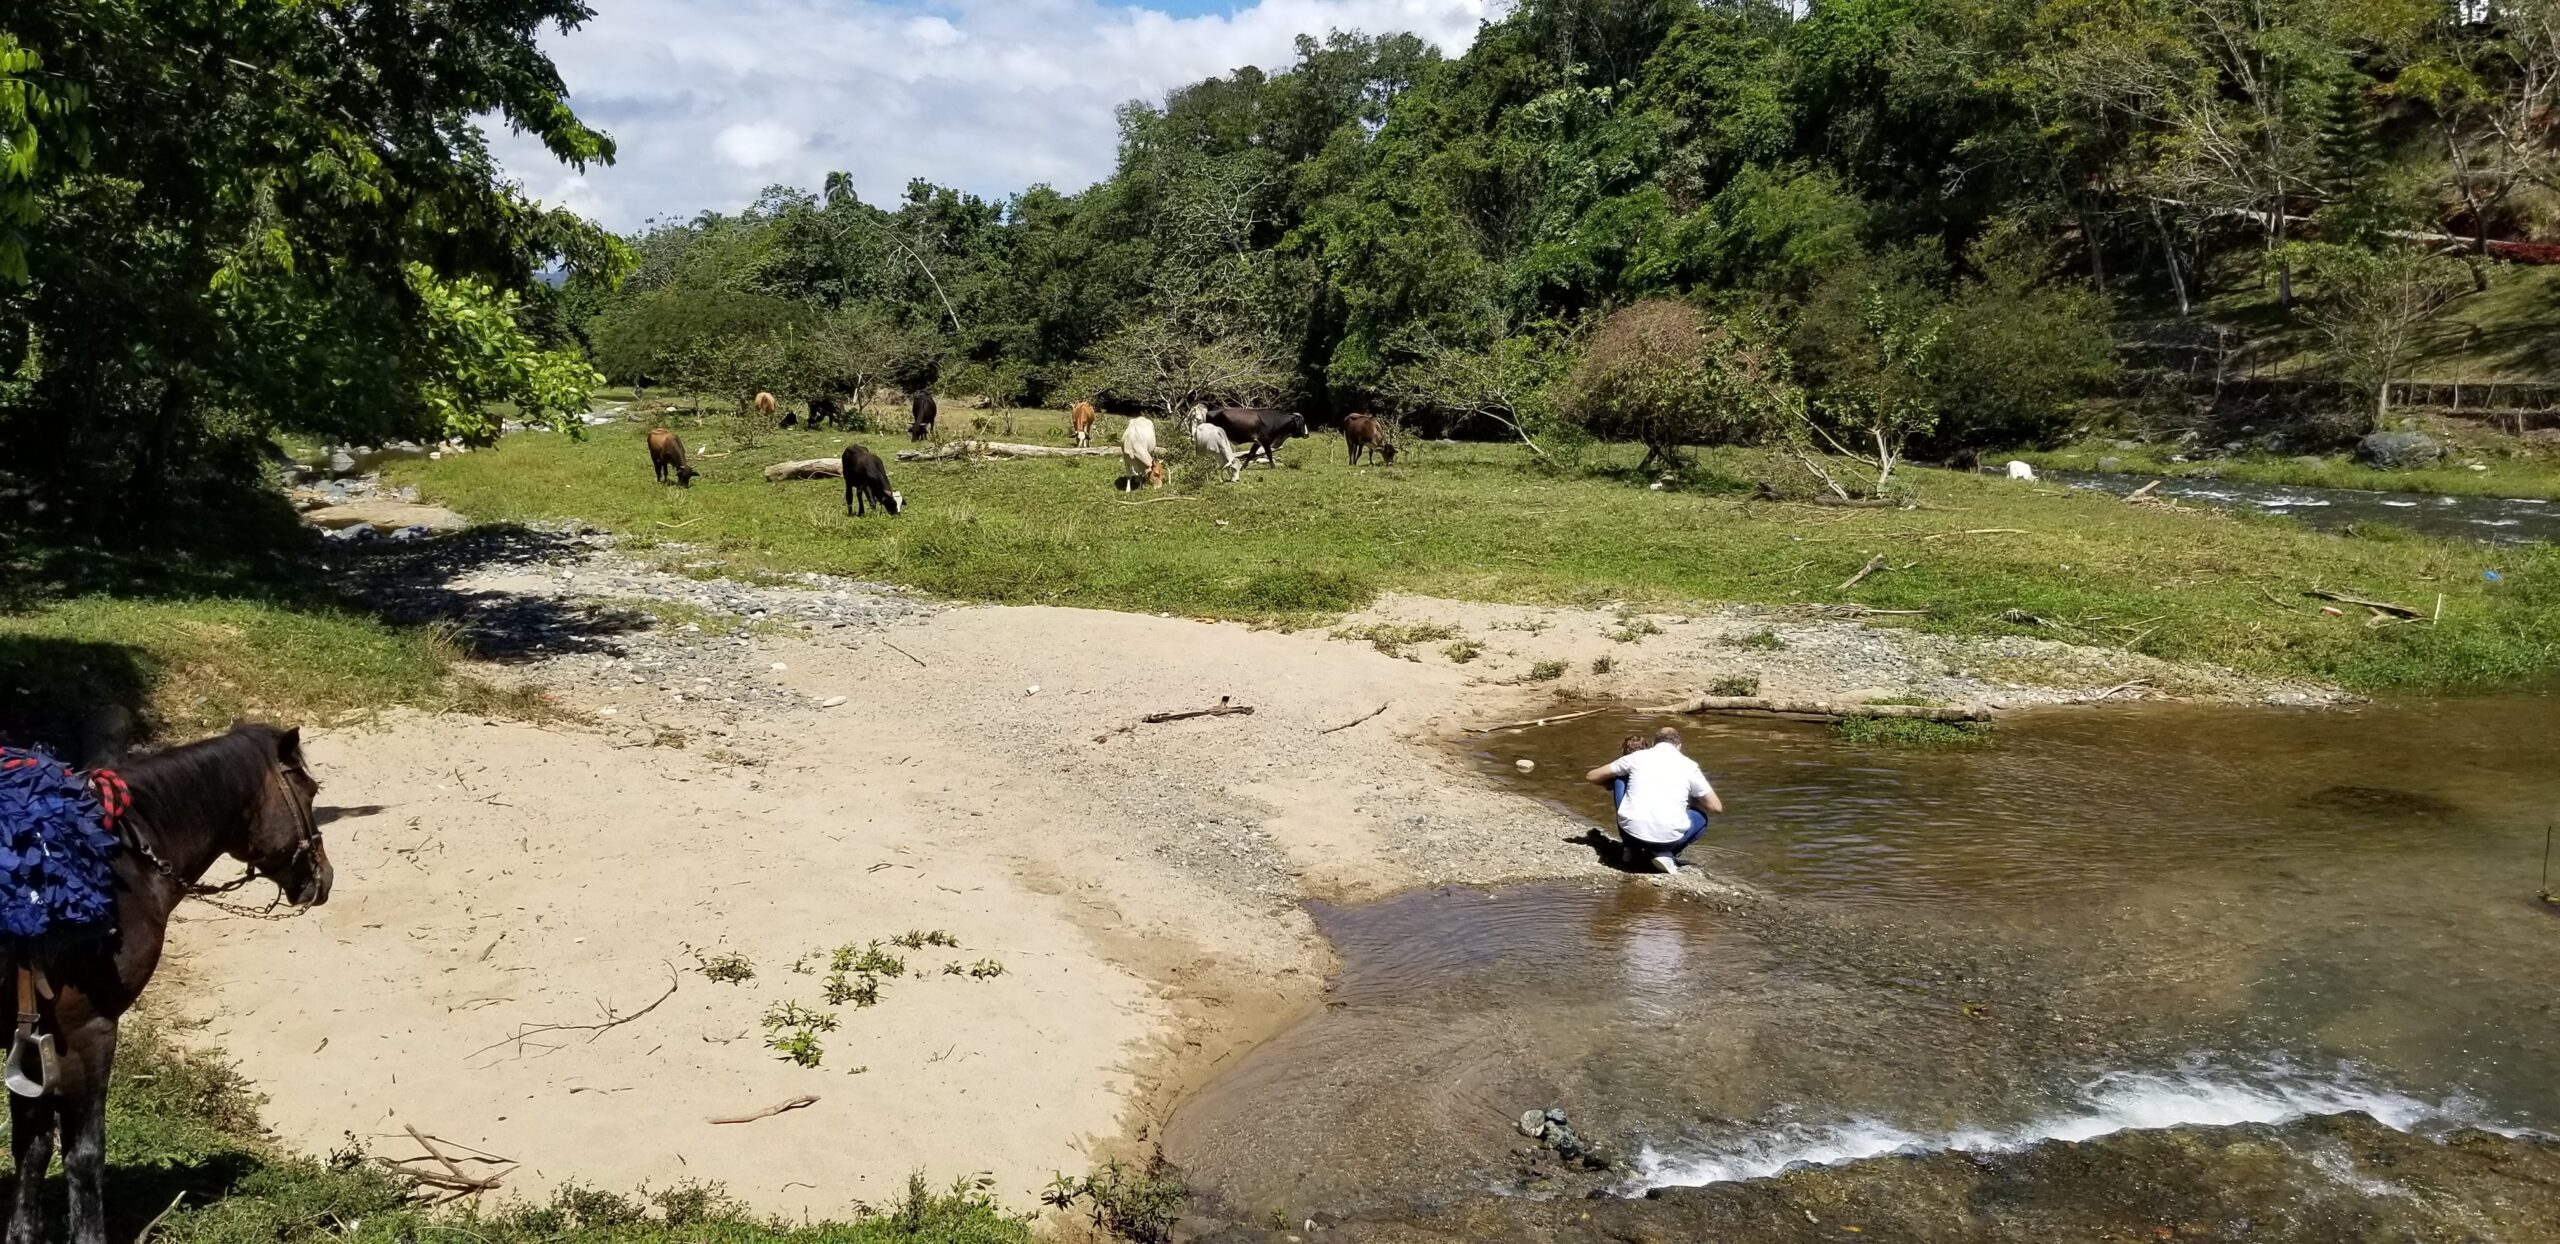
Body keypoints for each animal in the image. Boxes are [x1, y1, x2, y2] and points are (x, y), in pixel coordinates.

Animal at [1, 716, 335, 1244]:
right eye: (310, 790)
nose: (324, 878)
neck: (121, 864)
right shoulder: (89, 1032)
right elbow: (84, 1155)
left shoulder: (34, 1038)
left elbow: (31, 1145)